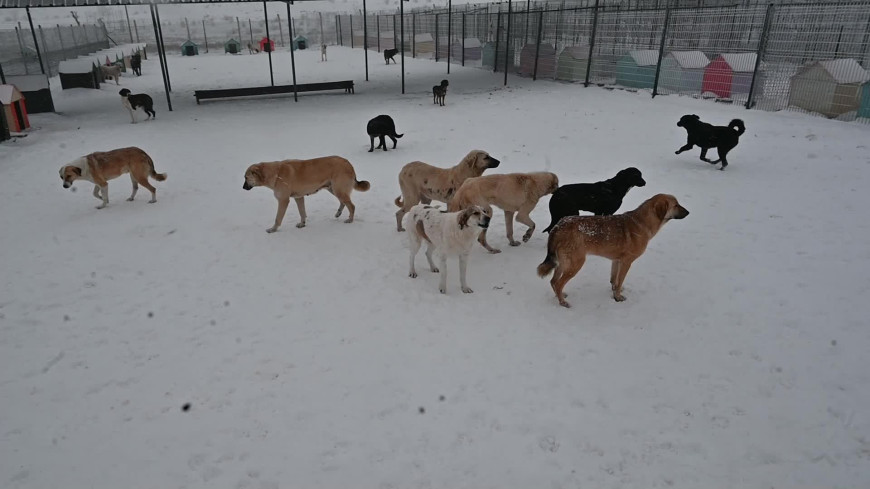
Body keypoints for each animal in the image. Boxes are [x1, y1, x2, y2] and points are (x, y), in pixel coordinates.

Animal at [242, 156, 372, 233]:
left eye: (246, 177)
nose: (243, 187)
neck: (276, 174)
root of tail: (349, 163)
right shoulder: (299, 198)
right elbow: (302, 212)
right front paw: (302, 224)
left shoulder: (283, 200)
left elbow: (278, 218)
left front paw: (273, 229)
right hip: (334, 189)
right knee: (343, 202)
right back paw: (338, 213)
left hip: (338, 189)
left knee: (351, 205)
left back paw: (350, 219)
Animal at [536, 193, 692, 304]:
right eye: (676, 205)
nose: (689, 212)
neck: (643, 223)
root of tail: (558, 226)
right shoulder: (626, 262)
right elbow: (619, 280)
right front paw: (618, 297)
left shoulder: (616, 261)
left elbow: (614, 280)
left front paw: (614, 292)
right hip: (575, 263)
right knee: (559, 283)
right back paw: (562, 302)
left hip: (563, 262)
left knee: (553, 281)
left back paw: (560, 295)